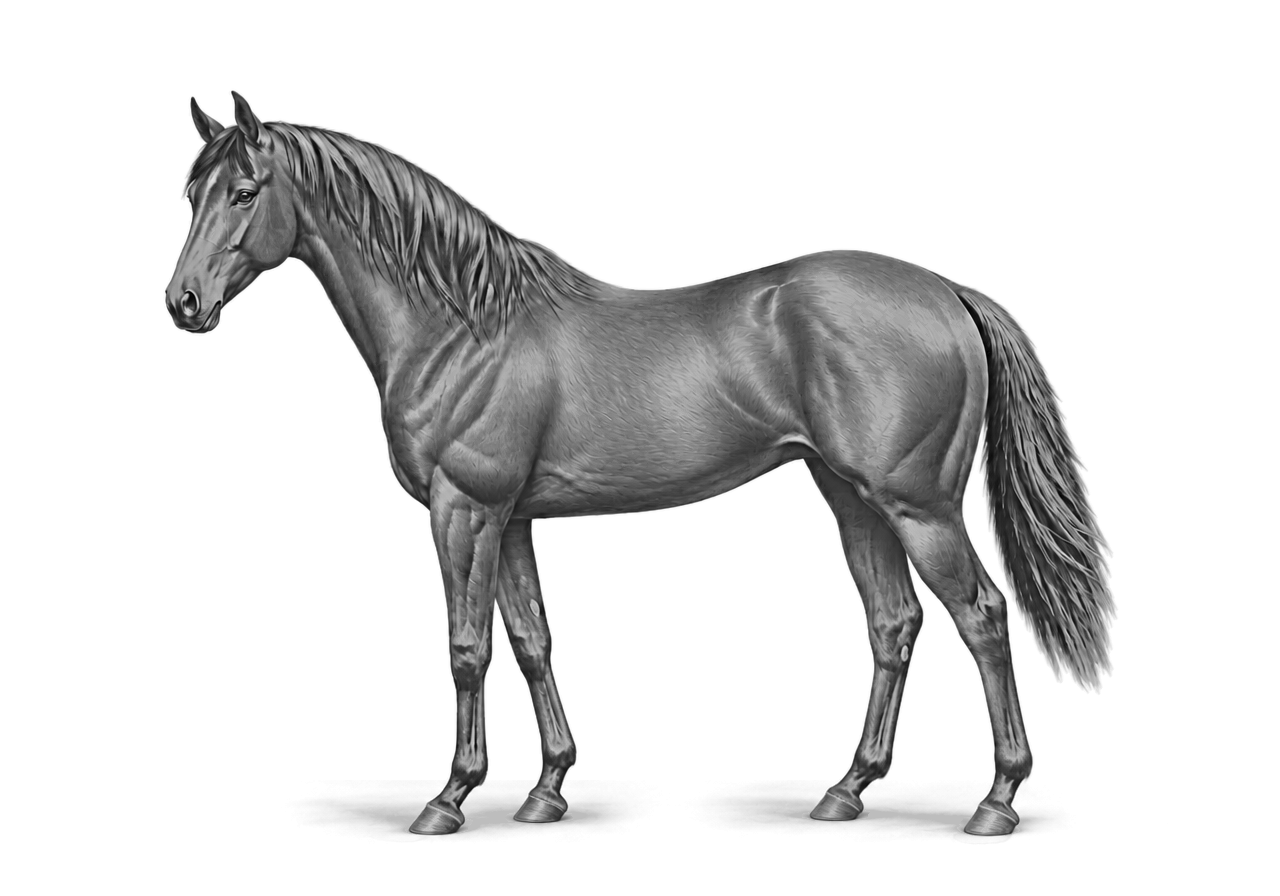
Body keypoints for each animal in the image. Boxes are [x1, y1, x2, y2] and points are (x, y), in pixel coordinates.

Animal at [165, 91, 1117, 836]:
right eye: (188, 194)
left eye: (245, 191)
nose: (182, 303)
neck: (462, 324)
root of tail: (946, 291)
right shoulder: (513, 517)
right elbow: (534, 640)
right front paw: (547, 789)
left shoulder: (464, 508)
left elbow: (470, 647)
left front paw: (449, 799)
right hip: (853, 497)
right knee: (892, 623)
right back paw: (846, 791)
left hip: (917, 504)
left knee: (984, 618)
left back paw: (996, 801)